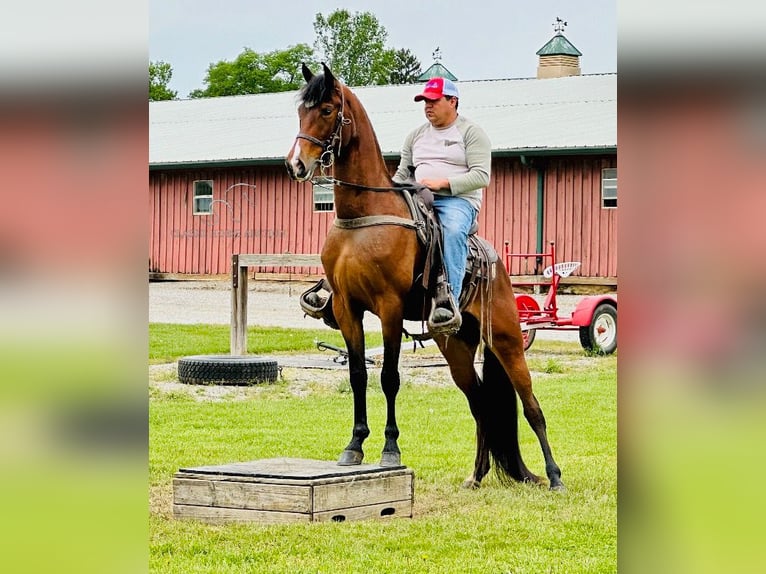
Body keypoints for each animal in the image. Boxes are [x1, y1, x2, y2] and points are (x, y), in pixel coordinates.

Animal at [288, 65, 564, 492]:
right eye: (301, 110)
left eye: (328, 109)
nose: (297, 164)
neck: (363, 219)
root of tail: (494, 262)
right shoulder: (349, 309)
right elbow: (357, 374)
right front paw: (354, 446)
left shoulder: (388, 308)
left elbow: (389, 377)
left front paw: (389, 449)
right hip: (455, 345)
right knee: (480, 403)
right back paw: (476, 476)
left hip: (506, 338)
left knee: (531, 404)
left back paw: (553, 475)